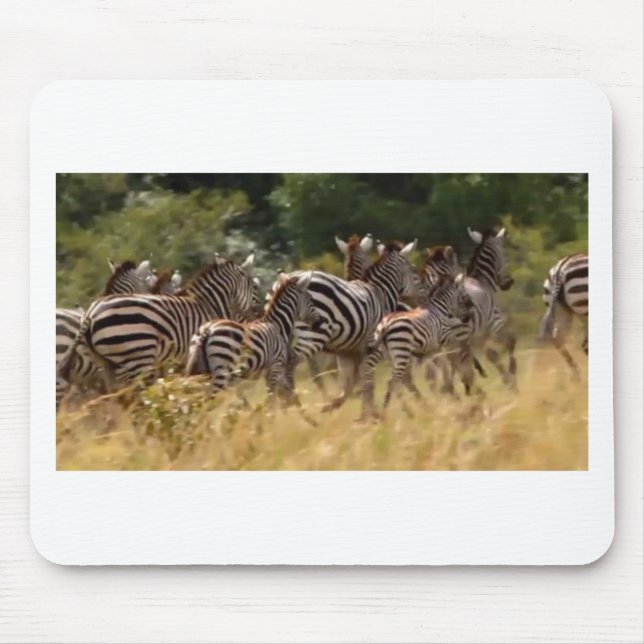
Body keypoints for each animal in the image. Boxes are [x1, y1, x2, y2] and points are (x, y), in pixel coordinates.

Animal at [57, 253, 256, 390]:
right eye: (255, 286)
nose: (256, 316)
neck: (208, 303)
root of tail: (90, 314)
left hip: (107, 365)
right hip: (137, 358)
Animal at [185, 272, 324, 405]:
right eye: (311, 299)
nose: (319, 322)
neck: (277, 325)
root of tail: (207, 330)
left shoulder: (273, 372)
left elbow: (284, 395)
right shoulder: (275, 367)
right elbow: (272, 400)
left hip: (201, 372)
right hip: (222, 371)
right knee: (207, 402)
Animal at [281, 239, 420, 412]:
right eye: (413, 270)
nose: (417, 301)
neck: (380, 292)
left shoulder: (347, 352)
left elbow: (351, 381)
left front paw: (335, 404)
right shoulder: (373, 348)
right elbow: (366, 380)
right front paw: (370, 412)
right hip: (314, 336)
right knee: (293, 365)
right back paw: (294, 403)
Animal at [359, 272, 477, 417]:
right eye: (464, 295)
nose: (468, 317)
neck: (439, 310)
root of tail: (385, 325)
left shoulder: (431, 350)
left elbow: (439, 370)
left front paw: (448, 390)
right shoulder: (447, 339)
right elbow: (454, 361)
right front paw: (463, 384)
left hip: (390, 355)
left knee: (399, 381)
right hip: (402, 353)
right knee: (393, 381)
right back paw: (388, 411)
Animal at [462, 227, 517, 386]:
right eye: (505, 254)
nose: (508, 283)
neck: (482, 282)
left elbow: (490, 353)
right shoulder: (494, 321)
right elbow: (510, 341)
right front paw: (511, 371)